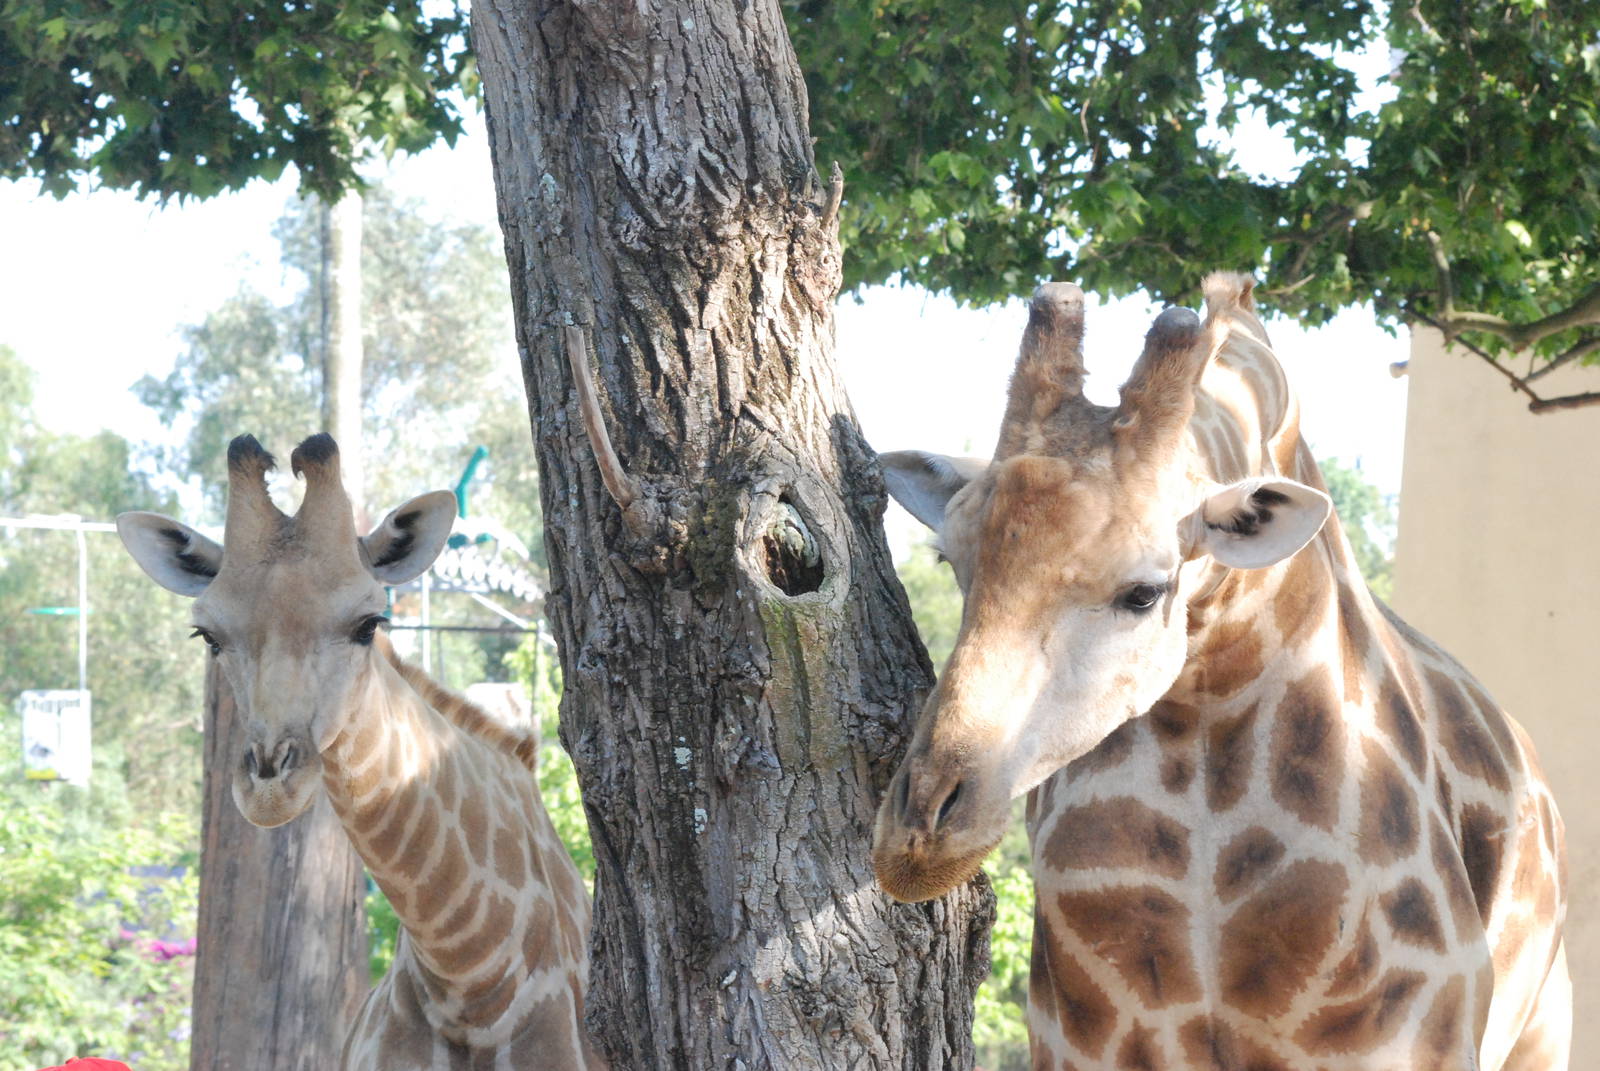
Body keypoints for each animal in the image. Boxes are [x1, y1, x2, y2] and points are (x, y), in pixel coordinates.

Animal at [871, 275, 1568, 1069]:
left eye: (1145, 592)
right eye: (953, 562)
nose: (918, 834)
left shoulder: (1412, 1042)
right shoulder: (1079, 1045)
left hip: (1546, 1030)